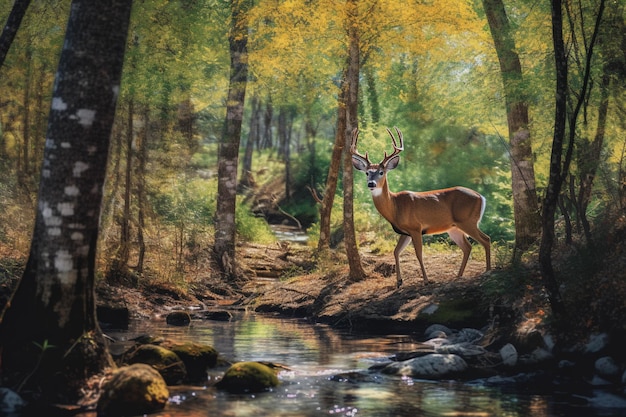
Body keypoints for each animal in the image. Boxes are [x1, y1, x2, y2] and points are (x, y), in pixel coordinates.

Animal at [348, 127, 490, 286]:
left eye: (381, 172)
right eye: (367, 173)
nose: (371, 184)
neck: (395, 207)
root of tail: (481, 197)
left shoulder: (415, 227)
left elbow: (419, 253)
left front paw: (426, 280)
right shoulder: (405, 232)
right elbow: (396, 251)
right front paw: (399, 281)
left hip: (467, 221)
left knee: (486, 240)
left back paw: (488, 270)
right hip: (454, 227)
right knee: (468, 247)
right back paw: (458, 275)